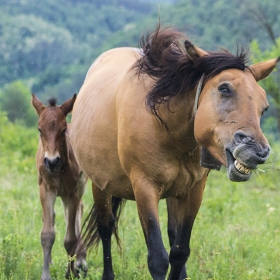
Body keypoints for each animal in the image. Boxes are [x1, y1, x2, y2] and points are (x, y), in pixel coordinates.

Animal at [31, 94, 87, 280]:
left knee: (78, 212)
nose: (51, 161)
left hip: (80, 185)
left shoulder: (71, 193)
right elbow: (47, 235)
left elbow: (70, 238)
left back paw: (80, 261)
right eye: (40, 129)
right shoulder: (47, 190)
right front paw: (46, 273)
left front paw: (71, 273)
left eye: (62, 130)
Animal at [71, 26, 278, 280]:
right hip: (100, 185)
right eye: (224, 88)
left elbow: (179, 251)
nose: (256, 151)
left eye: (264, 106)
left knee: (170, 233)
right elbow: (158, 259)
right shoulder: (145, 188)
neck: (165, 126)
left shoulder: (193, 190)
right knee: (106, 227)